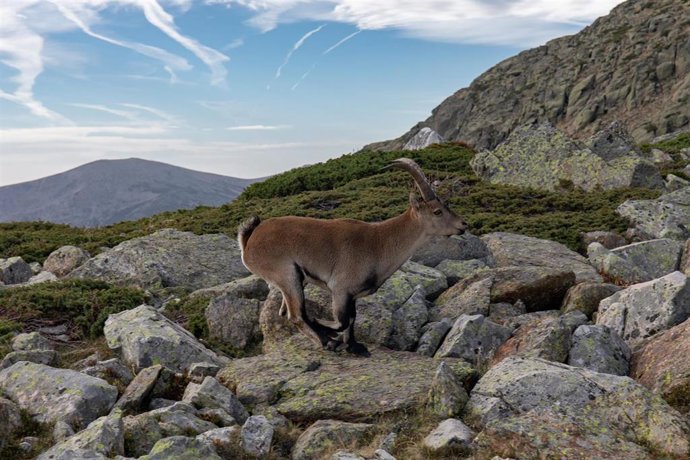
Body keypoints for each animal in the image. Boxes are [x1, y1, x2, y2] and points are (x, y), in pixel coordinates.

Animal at [237, 158, 468, 356]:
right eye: (437, 211)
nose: (463, 225)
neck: (380, 243)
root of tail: (249, 240)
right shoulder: (340, 289)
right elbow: (343, 320)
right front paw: (329, 330)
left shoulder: (352, 295)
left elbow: (353, 318)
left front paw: (355, 346)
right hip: (287, 274)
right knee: (296, 315)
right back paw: (327, 341)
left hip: (294, 280)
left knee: (287, 314)